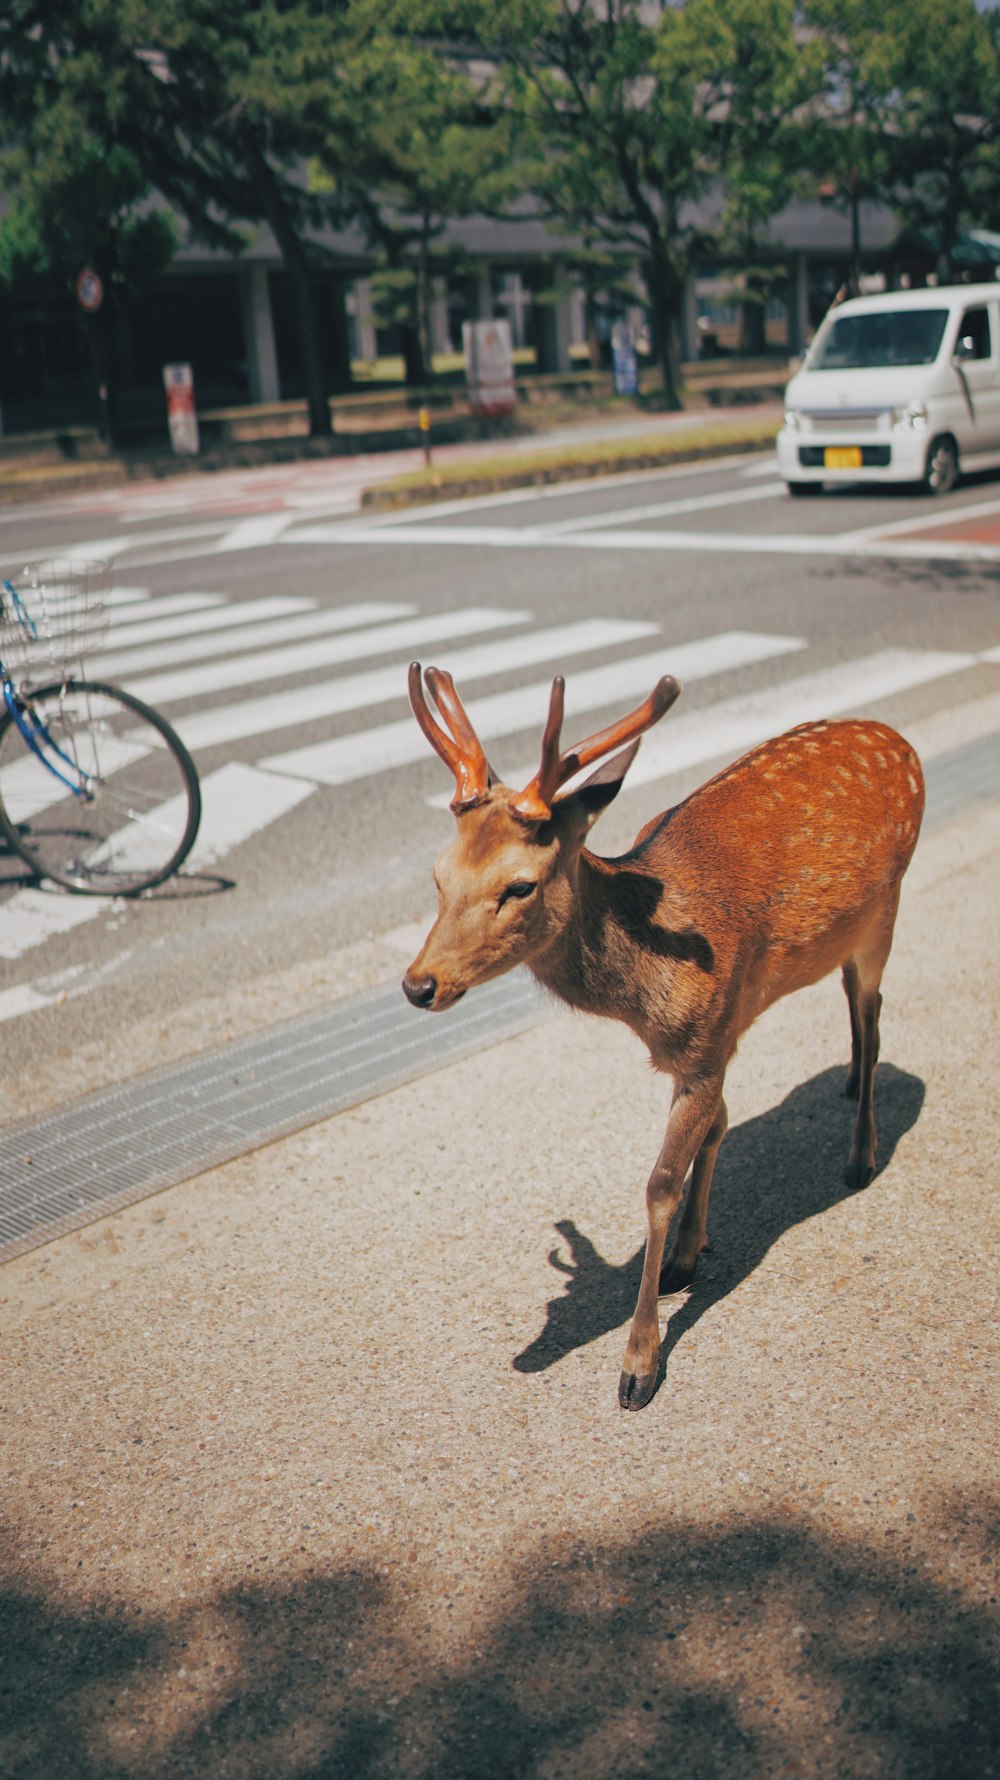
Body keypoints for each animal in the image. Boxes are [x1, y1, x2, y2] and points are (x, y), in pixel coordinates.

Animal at [400, 662, 925, 1409]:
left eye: (519, 886)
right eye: (438, 876)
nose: (419, 985)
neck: (649, 995)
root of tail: (897, 739)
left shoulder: (707, 1045)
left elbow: (659, 1184)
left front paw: (639, 1364)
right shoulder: (707, 1046)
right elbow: (718, 1128)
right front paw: (687, 1256)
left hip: (887, 909)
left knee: (876, 1014)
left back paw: (860, 1154)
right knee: (855, 1003)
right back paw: (849, 1083)